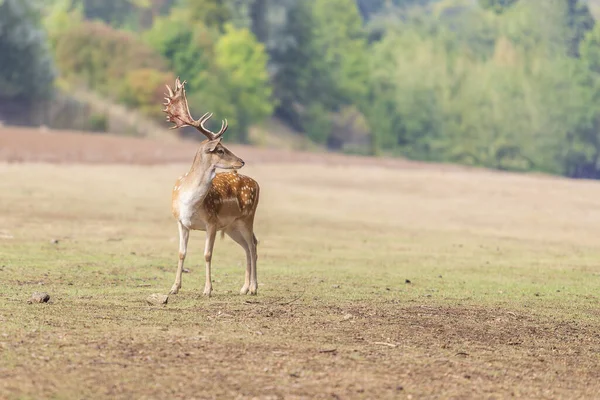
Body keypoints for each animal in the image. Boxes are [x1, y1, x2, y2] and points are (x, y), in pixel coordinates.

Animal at [163, 78, 258, 296]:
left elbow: (207, 254)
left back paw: (254, 288)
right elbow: (181, 253)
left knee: (253, 245)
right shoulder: (181, 222)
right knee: (247, 246)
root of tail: (256, 184)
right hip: (232, 226)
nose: (241, 161)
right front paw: (174, 288)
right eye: (220, 150)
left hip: (247, 217)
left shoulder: (212, 222)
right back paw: (244, 288)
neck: (189, 203)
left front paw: (207, 289)